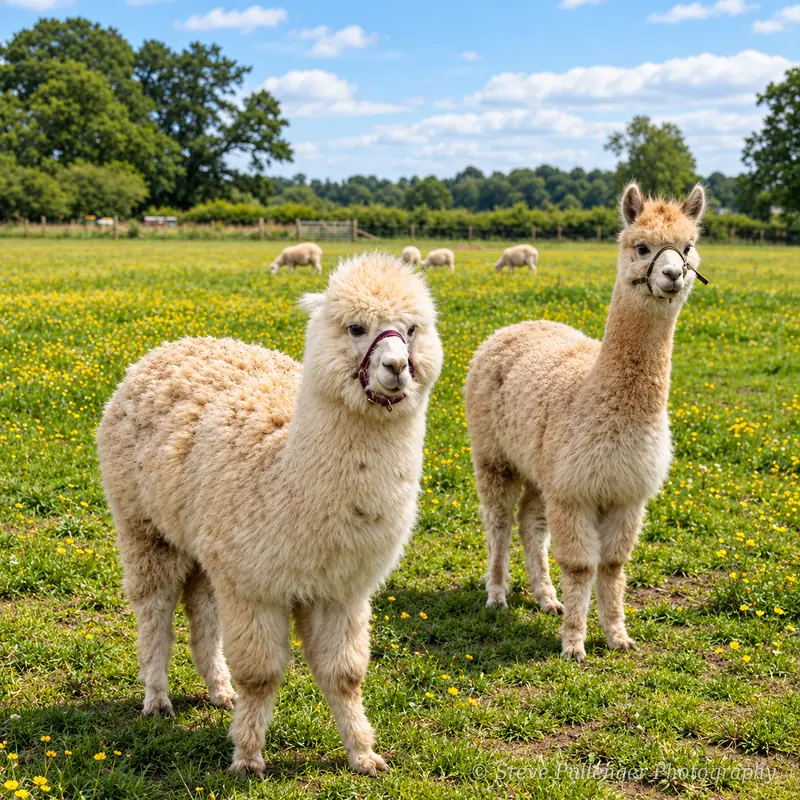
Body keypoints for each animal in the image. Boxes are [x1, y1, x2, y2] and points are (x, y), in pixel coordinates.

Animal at [96, 253, 443, 777]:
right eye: (356, 327)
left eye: (412, 328)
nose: (396, 366)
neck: (285, 479)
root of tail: (170, 345)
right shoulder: (256, 585)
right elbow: (260, 675)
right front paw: (247, 757)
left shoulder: (341, 589)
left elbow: (345, 674)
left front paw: (364, 755)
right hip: (143, 523)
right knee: (154, 607)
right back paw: (157, 699)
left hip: (208, 542)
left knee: (201, 608)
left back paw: (219, 690)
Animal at [465, 183, 708, 662]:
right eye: (642, 246)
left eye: (687, 247)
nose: (672, 274)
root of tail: (516, 326)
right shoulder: (575, 491)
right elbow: (580, 566)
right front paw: (574, 645)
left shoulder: (625, 493)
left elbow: (613, 565)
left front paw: (617, 635)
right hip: (493, 454)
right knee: (498, 522)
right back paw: (497, 595)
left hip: (541, 468)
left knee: (530, 523)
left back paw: (546, 598)